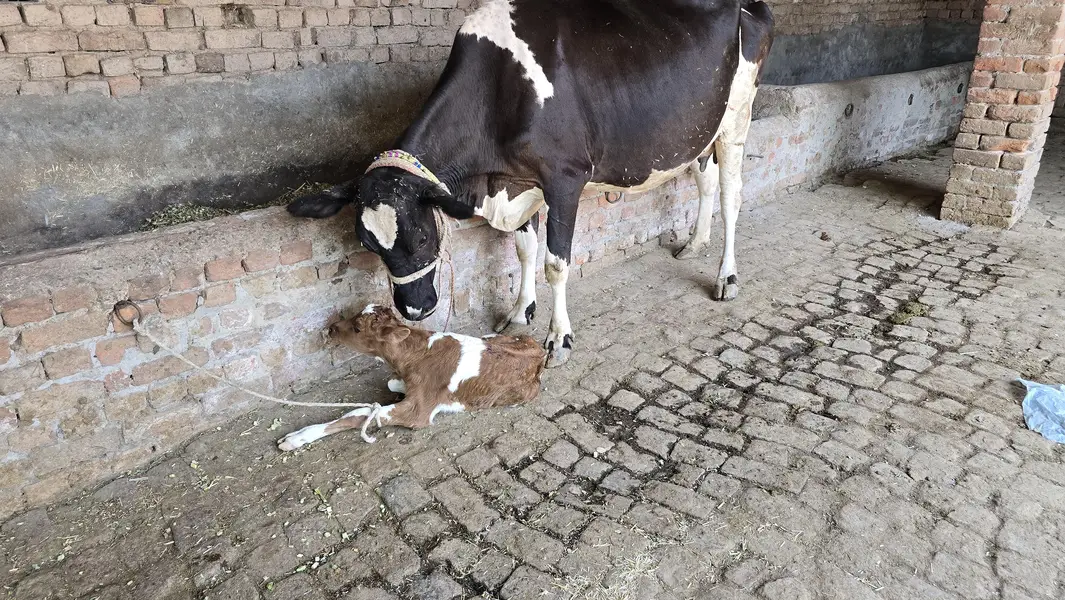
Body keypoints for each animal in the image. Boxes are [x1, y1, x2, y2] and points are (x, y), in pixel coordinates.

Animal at [287, 0, 774, 368]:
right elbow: (524, 249)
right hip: (698, 129)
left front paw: (559, 339)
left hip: (737, 116)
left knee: (731, 195)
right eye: (368, 244)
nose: (414, 309)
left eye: (424, 235)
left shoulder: (564, 177)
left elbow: (555, 263)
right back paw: (694, 243)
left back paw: (726, 277)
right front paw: (521, 311)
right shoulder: (518, 180)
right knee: (704, 179)